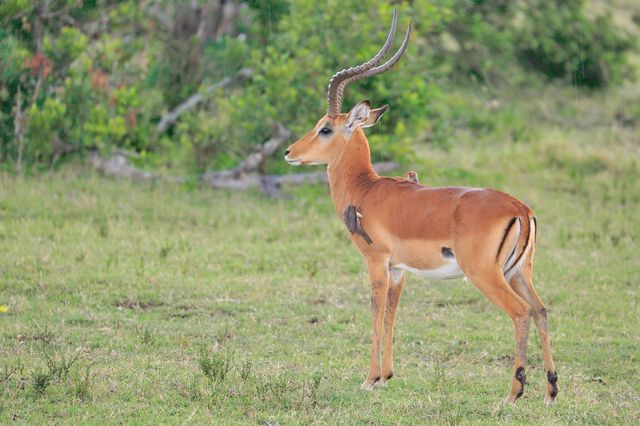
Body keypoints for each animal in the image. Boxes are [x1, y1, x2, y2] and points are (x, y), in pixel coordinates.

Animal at [282, 11, 556, 404]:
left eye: (325, 129)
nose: (289, 152)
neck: (366, 189)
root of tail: (519, 209)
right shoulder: (399, 270)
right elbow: (392, 315)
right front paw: (385, 376)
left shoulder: (376, 262)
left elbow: (376, 312)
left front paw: (368, 378)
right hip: (520, 272)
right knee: (541, 310)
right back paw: (551, 392)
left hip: (486, 275)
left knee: (520, 313)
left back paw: (512, 395)